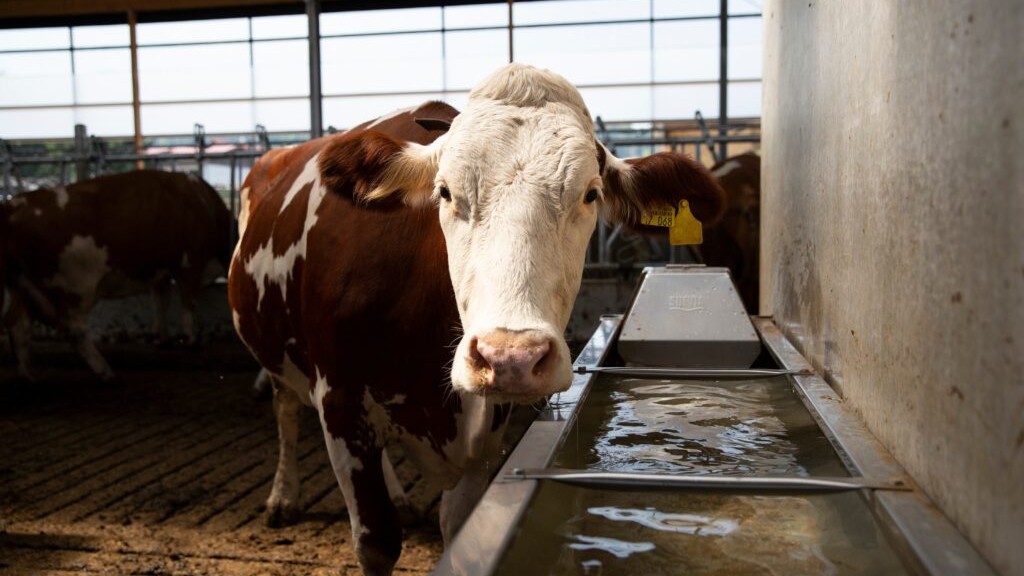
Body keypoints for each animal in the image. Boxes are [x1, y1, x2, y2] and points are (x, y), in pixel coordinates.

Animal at [1, 170, 231, 382]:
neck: (204, 203)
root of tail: (14, 206)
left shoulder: (161, 272)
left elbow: (161, 301)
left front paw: (162, 338)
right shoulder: (191, 262)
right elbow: (187, 303)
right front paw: (191, 340)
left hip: (23, 286)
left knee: (17, 323)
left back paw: (28, 374)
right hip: (76, 287)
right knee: (74, 329)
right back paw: (106, 372)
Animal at [228, 63, 725, 576]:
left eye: (590, 194)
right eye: (445, 191)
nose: (511, 357)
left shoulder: (488, 429)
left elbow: (457, 525)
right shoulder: (341, 404)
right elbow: (377, 542)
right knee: (284, 408)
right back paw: (283, 496)